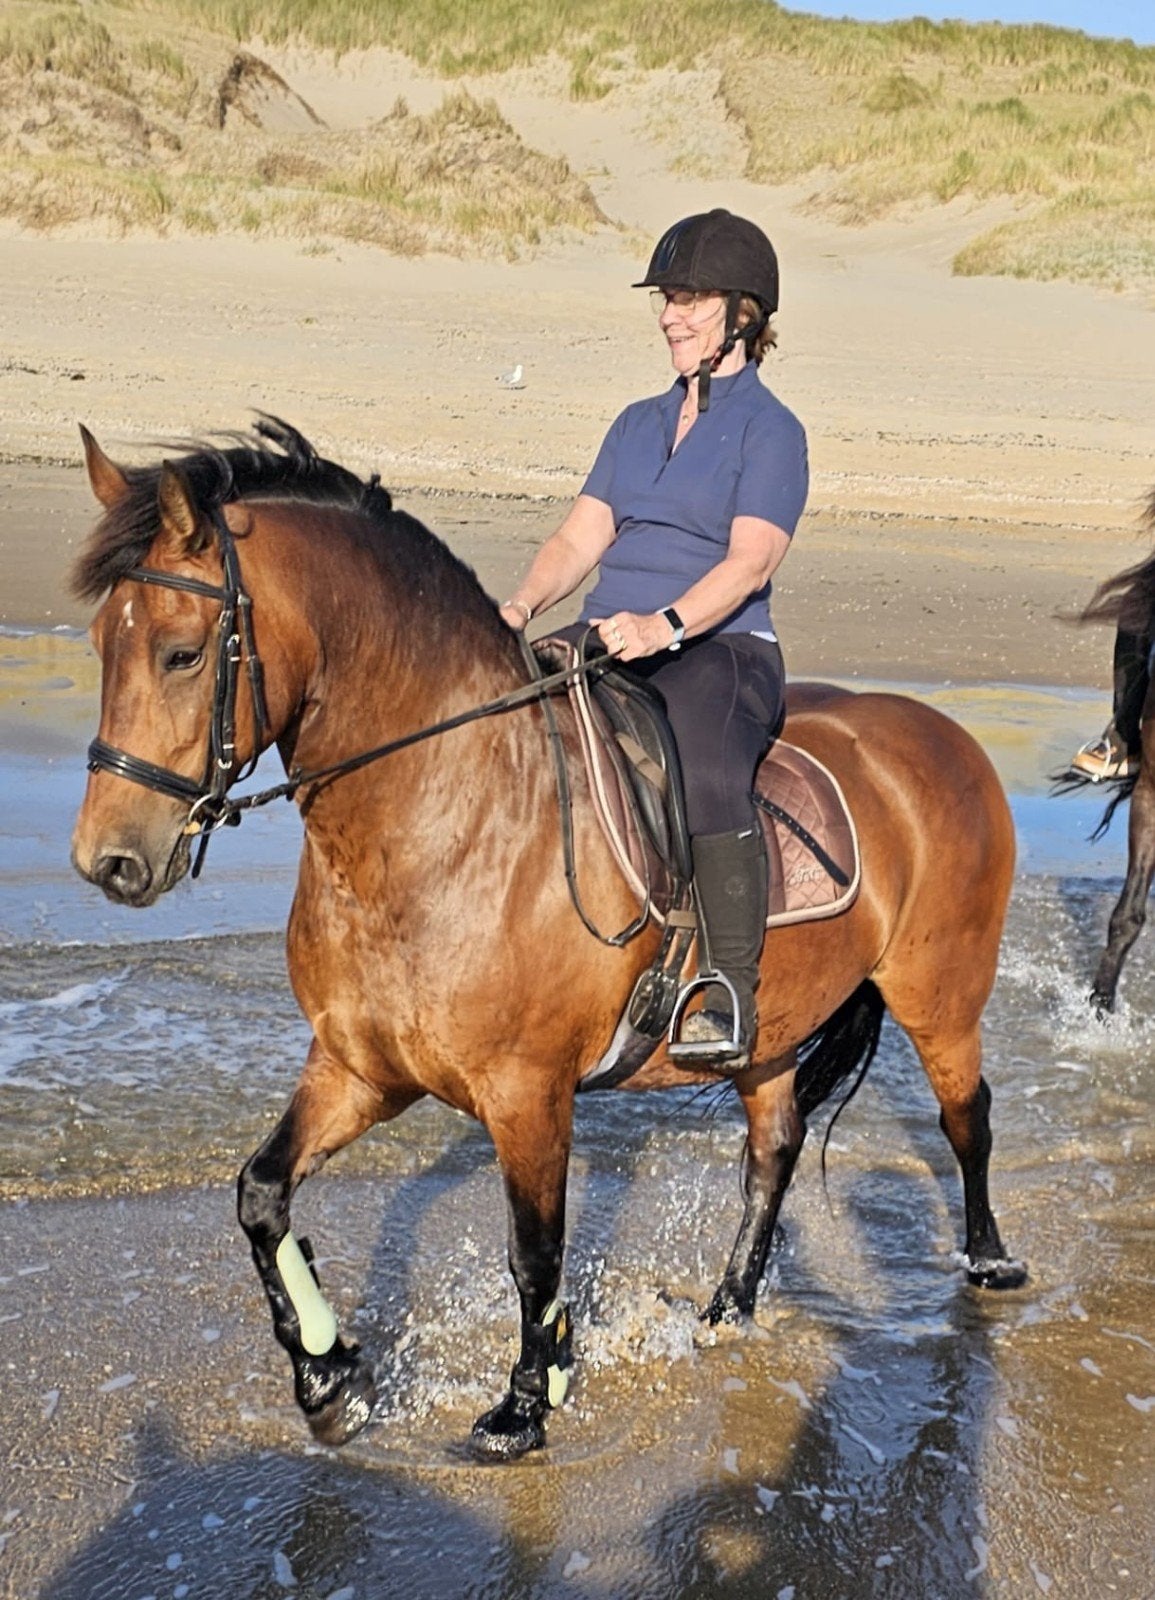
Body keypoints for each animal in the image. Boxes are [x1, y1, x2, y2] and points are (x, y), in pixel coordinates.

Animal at [69, 418, 1026, 1462]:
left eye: (181, 654)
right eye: (101, 644)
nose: (107, 860)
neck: (451, 815)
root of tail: (941, 734)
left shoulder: (527, 1092)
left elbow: (535, 1251)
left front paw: (527, 1400)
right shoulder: (359, 1069)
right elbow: (260, 1194)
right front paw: (329, 1376)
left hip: (941, 994)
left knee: (965, 1120)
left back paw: (988, 1264)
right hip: (769, 1032)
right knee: (772, 1150)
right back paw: (728, 1307)